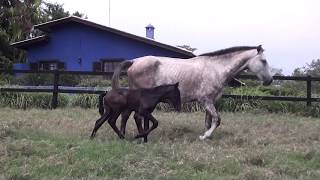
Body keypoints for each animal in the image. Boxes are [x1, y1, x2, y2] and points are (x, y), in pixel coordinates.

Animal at [112, 45, 272, 140]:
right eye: (263, 61)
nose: (270, 80)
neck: (216, 69)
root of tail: (134, 61)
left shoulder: (210, 102)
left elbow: (208, 121)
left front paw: (206, 135)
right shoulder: (205, 100)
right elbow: (217, 119)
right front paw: (204, 137)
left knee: (126, 116)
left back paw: (125, 136)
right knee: (136, 117)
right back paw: (140, 137)